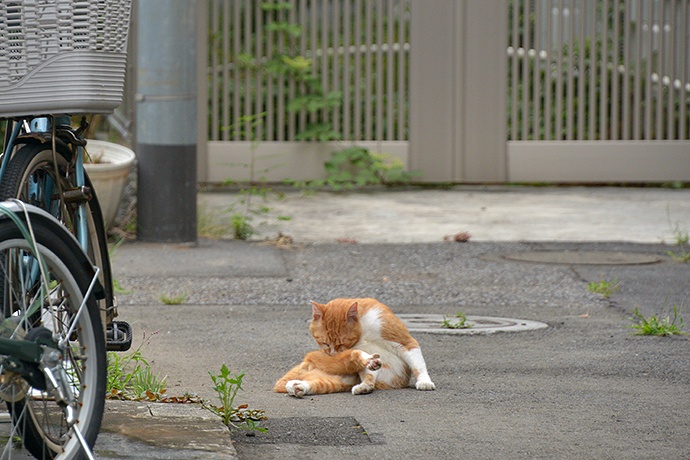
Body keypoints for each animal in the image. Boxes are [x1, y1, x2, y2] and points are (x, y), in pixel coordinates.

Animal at [272, 298, 432, 396]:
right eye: (325, 343)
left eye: (341, 343)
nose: (333, 353)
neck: (364, 330)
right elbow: (366, 370)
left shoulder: (404, 342)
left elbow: (418, 365)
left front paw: (424, 381)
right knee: (357, 359)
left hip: (338, 381)